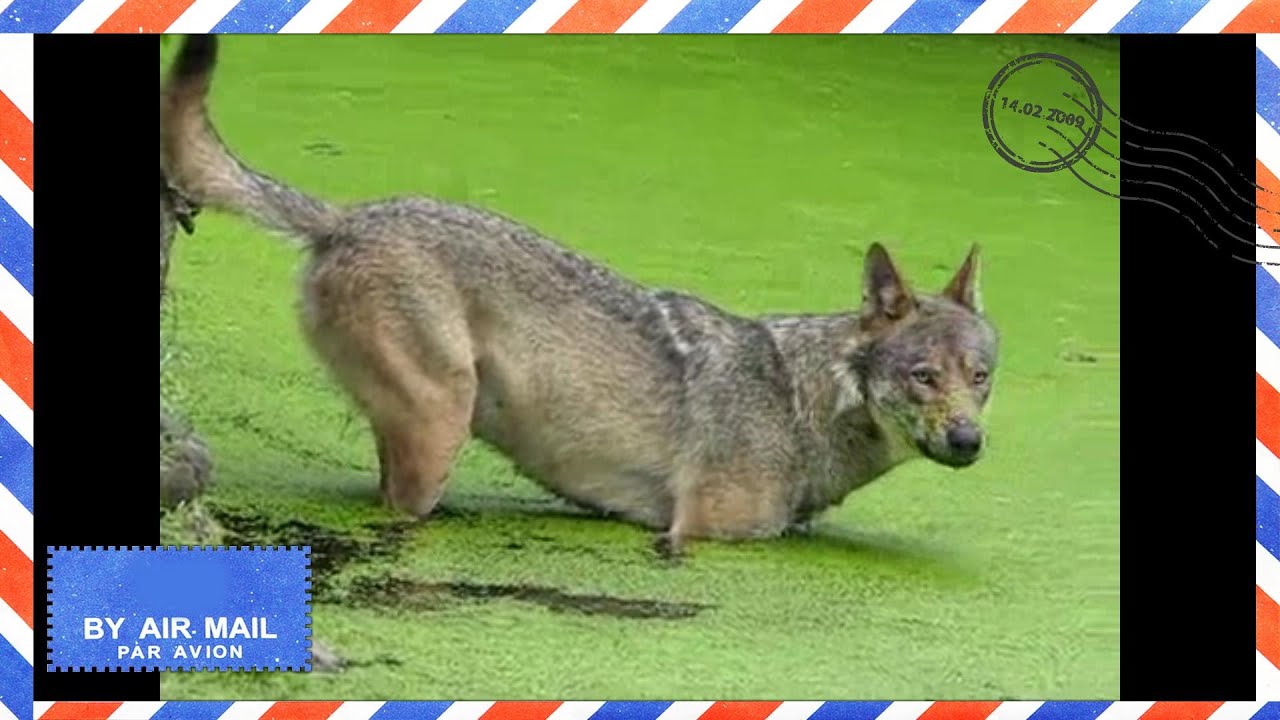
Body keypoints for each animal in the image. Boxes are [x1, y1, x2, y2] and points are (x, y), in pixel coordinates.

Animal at [160, 35, 999, 558]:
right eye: (924, 377)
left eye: (980, 377)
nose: (969, 441)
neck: (805, 402)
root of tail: (345, 217)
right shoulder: (692, 538)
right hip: (439, 432)